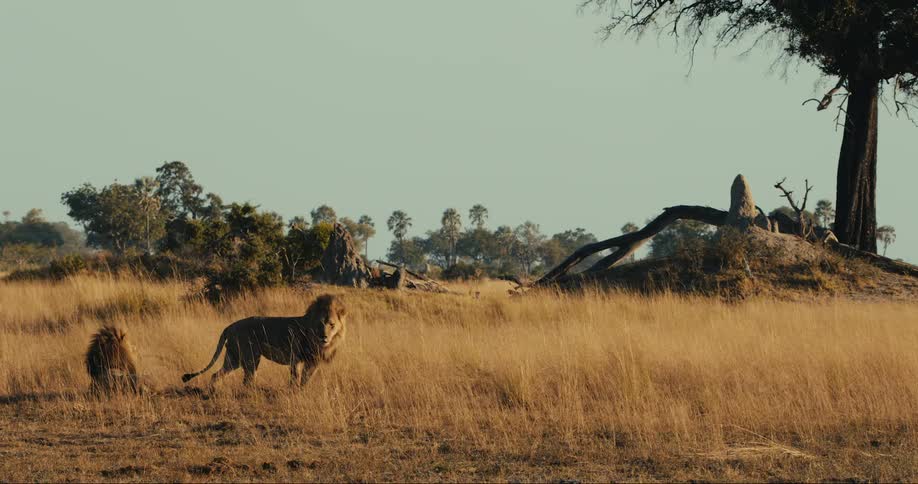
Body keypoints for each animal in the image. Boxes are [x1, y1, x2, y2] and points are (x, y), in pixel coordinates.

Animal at [181, 294, 346, 387]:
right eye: (319, 324)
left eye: (331, 325)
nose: (324, 337)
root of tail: (230, 326)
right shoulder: (296, 358)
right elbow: (295, 378)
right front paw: (293, 392)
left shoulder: (313, 362)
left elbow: (306, 380)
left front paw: (302, 392)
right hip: (250, 357)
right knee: (247, 381)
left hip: (234, 358)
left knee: (216, 374)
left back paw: (212, 392)